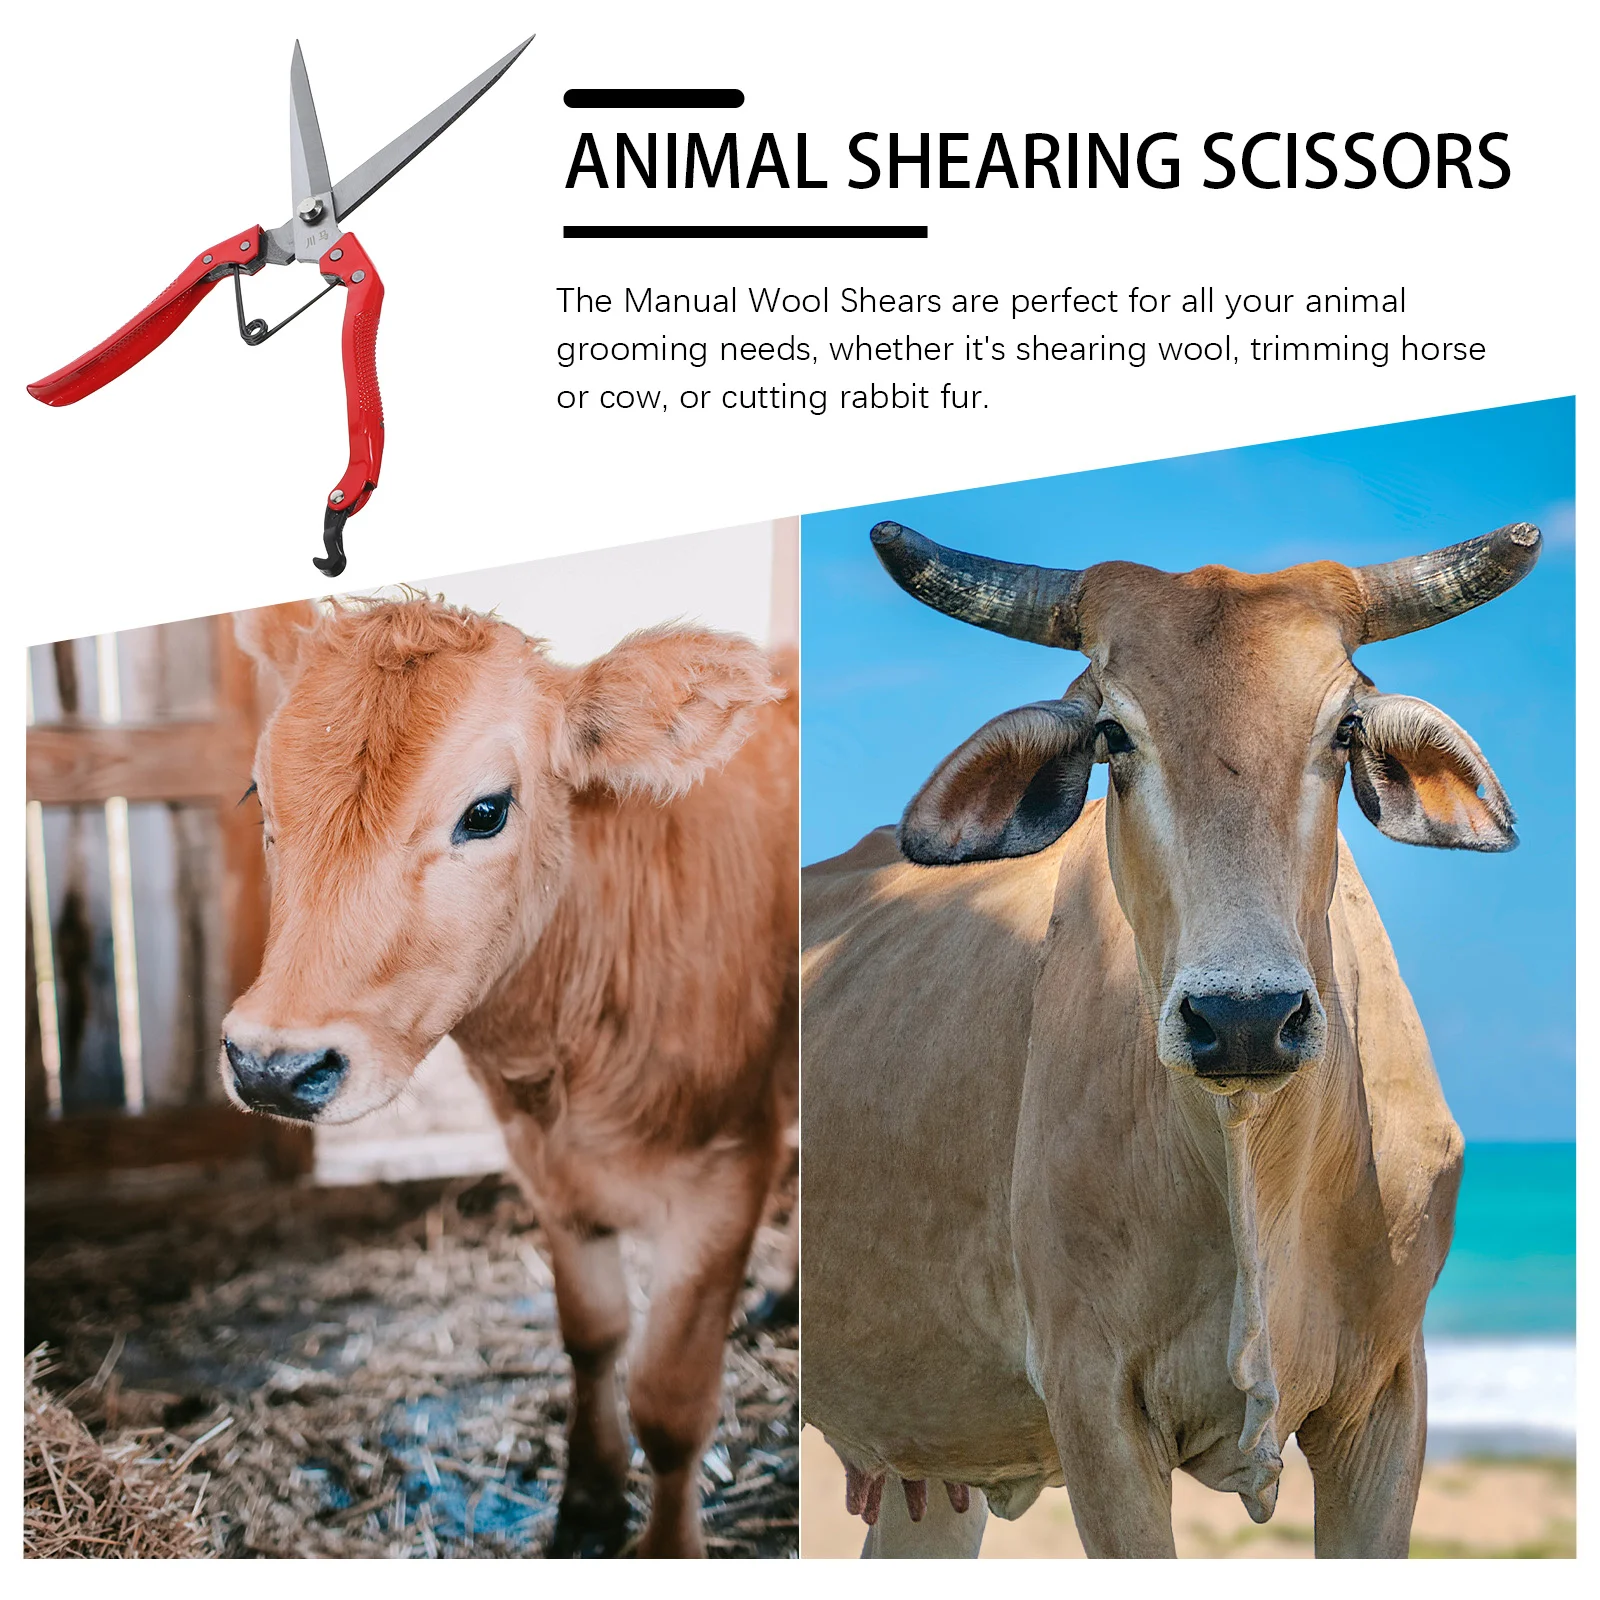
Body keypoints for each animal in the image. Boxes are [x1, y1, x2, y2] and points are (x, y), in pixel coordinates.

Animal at [222, 595, 798, 1558]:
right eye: (260, 795)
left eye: (486, 812)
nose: (274, 1064)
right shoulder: (545, 1170)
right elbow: (592, 1336)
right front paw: (588, 1500)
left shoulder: (729, 1168)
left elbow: (671, 1402)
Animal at [801, 517, 1540, 1558]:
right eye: (1113, 734)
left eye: (1345, 729)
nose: (1244, 1019)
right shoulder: (1095, 1406)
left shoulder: (1388, 1401)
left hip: (939, 1466)